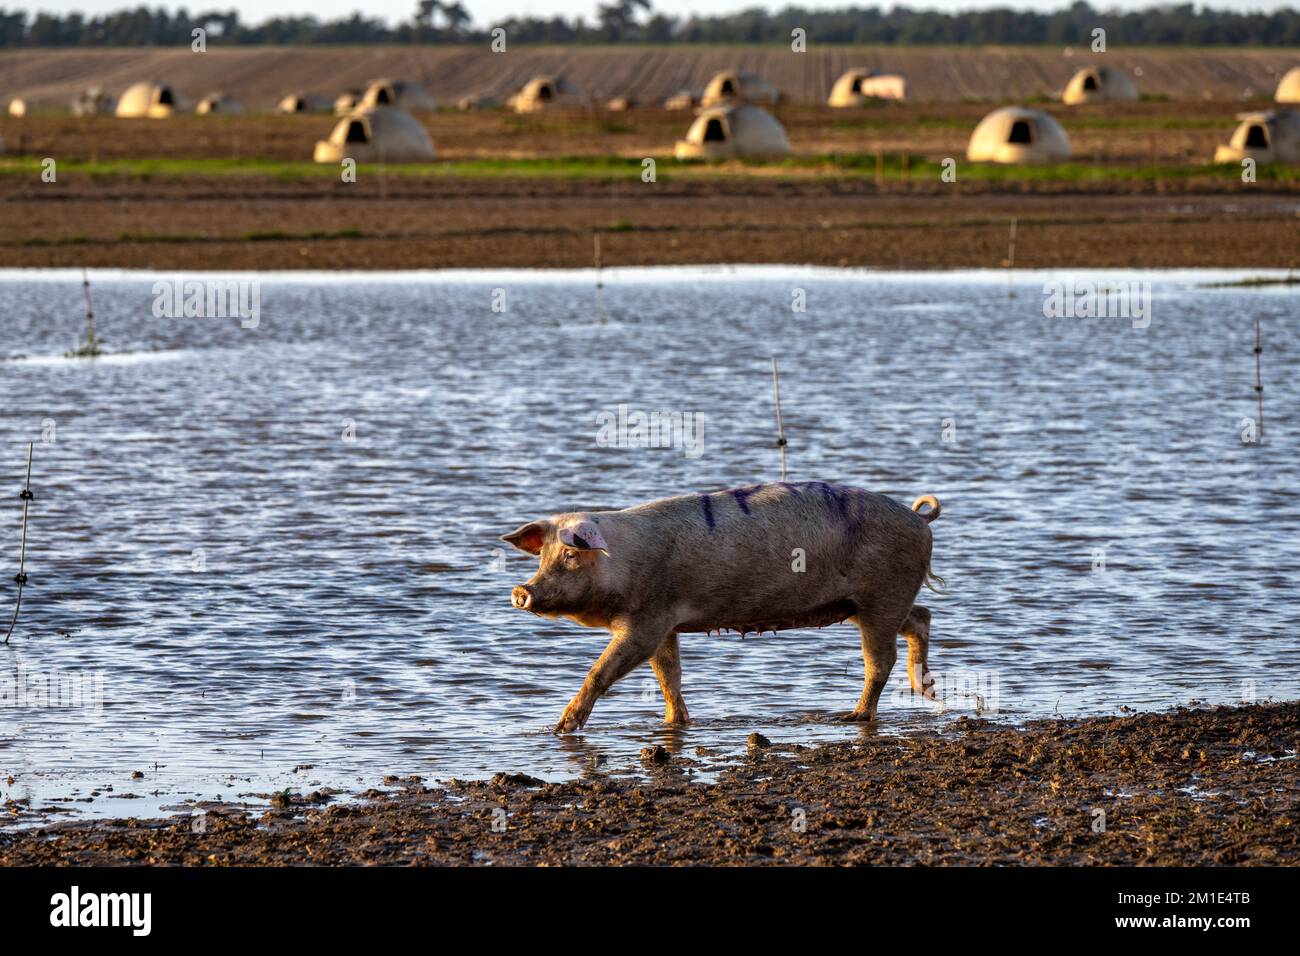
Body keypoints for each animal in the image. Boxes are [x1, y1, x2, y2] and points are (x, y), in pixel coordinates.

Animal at [501, 481, 941, 738]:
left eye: (571, 554)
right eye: (544, 554)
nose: (522, 591)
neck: (622, 563)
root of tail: (919, 520)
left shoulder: (646, 621)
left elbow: (601, 670)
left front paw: (561, 728)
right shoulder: (666, 625)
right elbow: (669, 676)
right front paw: (674, 723)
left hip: (882, 596)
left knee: (879, 660)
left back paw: (853, 717)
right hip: (865, 604)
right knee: (921, 616)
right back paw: (926, 690)